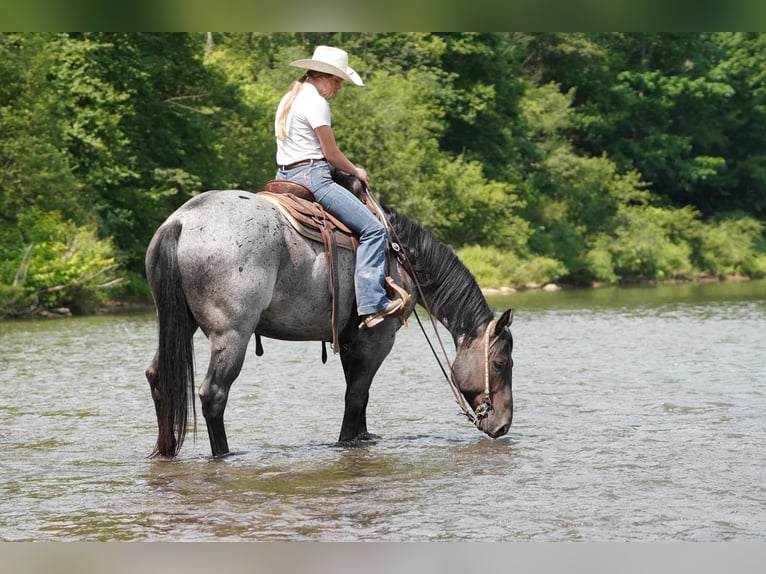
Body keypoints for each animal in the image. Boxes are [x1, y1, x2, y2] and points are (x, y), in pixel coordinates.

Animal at [144, 188, 514, 458]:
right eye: (500, 363)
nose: (503, 425)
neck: (400, 254)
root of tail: (182, 221)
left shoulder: (354, 340)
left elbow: (359, 393)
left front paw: (362, 436)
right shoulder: (378, 339)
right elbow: (356, 395)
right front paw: (347, 440)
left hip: (180, 325)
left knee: (158, 377)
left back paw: (165, 451)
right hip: (232, 335)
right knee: (214, 394)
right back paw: (223, 453)